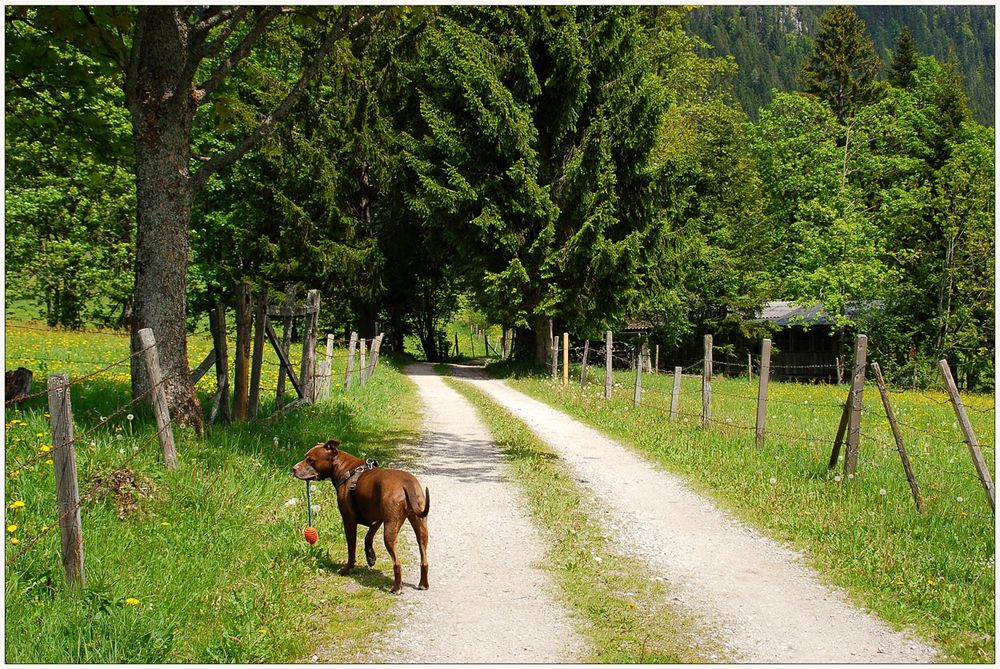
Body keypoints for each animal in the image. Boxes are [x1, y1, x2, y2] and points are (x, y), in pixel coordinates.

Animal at [292, 440, 428, 592]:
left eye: (310, 460)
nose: (293, 469)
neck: (344, 468)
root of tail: (407, 484)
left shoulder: (349, 521)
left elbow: (351, 549)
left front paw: (347, 569)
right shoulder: (377, 519)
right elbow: (368, 537)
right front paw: (370, 557)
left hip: (390, 530)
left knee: (396, 562)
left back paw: (396, 587)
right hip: (420, 526)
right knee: (424, 558)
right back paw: (423, 583)